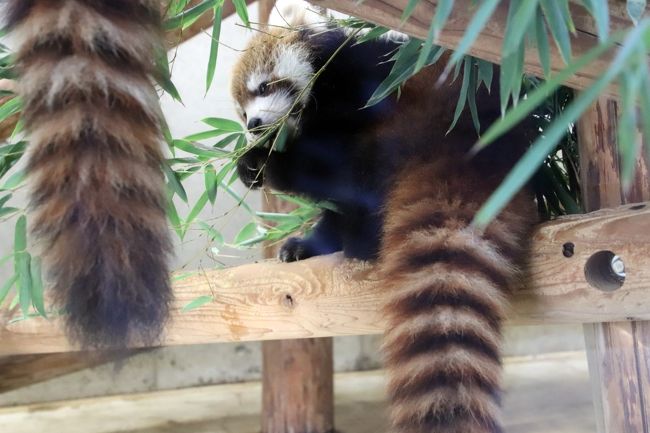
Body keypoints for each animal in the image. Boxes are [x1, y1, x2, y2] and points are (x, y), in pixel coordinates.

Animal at [230, 21, 536, 433]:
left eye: (263, 88)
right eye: (242, 110)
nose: (254, 125)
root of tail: (470, 150)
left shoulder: (352, 86)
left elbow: (329, 170)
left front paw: (261, 161)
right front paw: (305, 242)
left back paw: (361, 241)